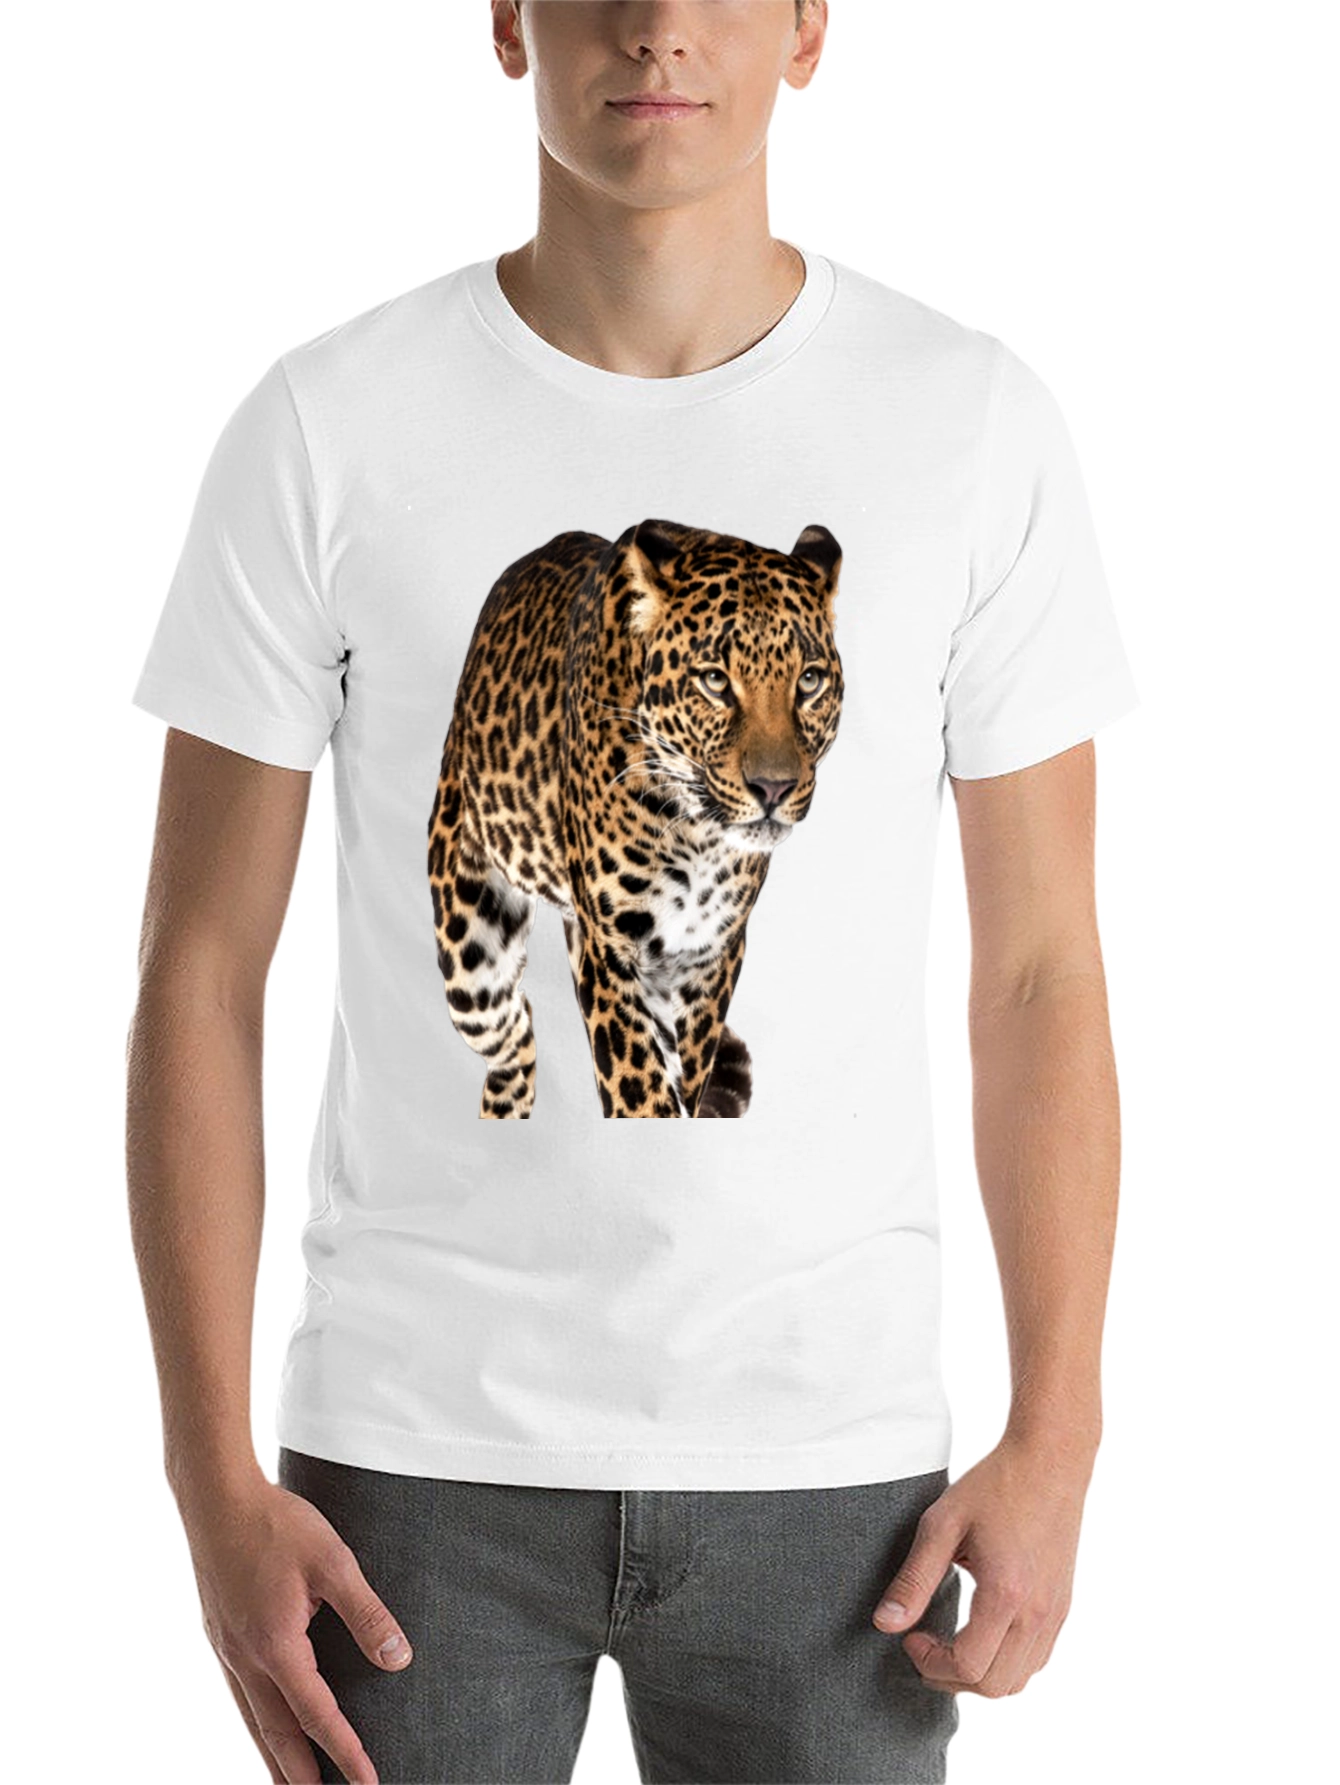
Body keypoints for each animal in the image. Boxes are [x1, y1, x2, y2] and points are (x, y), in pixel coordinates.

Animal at [426, 515, 844, 1119]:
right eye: (715, 681)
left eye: (809, 681)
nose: (774, 787)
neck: (698, 832)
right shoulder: (610, 950)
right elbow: (638, 1086)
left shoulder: (709, 953)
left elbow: (685, 1075)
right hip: (471, 954)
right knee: (513, 1037)